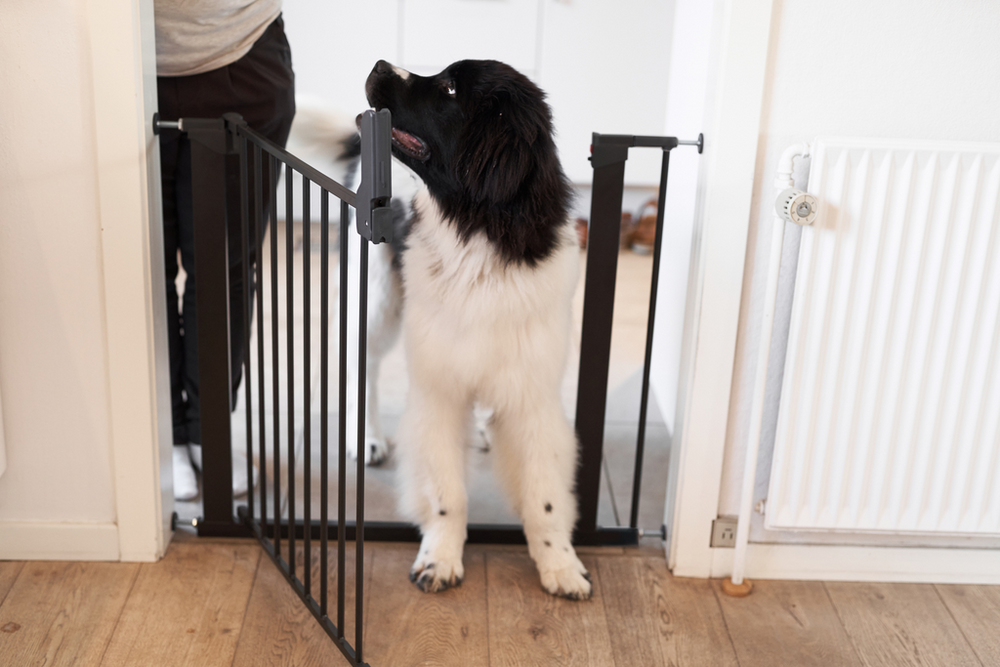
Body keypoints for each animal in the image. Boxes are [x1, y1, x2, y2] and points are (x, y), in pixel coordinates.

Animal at [293, 59, 592, 599]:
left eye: (450, 89)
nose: (378, 64)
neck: (478, 232)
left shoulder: (532, 392)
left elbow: (544, 495)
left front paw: (559, 563)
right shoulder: (438, 390)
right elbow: (445, 488)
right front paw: (440, 556)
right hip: (376, 295)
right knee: (363, 363)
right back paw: (366, 437)